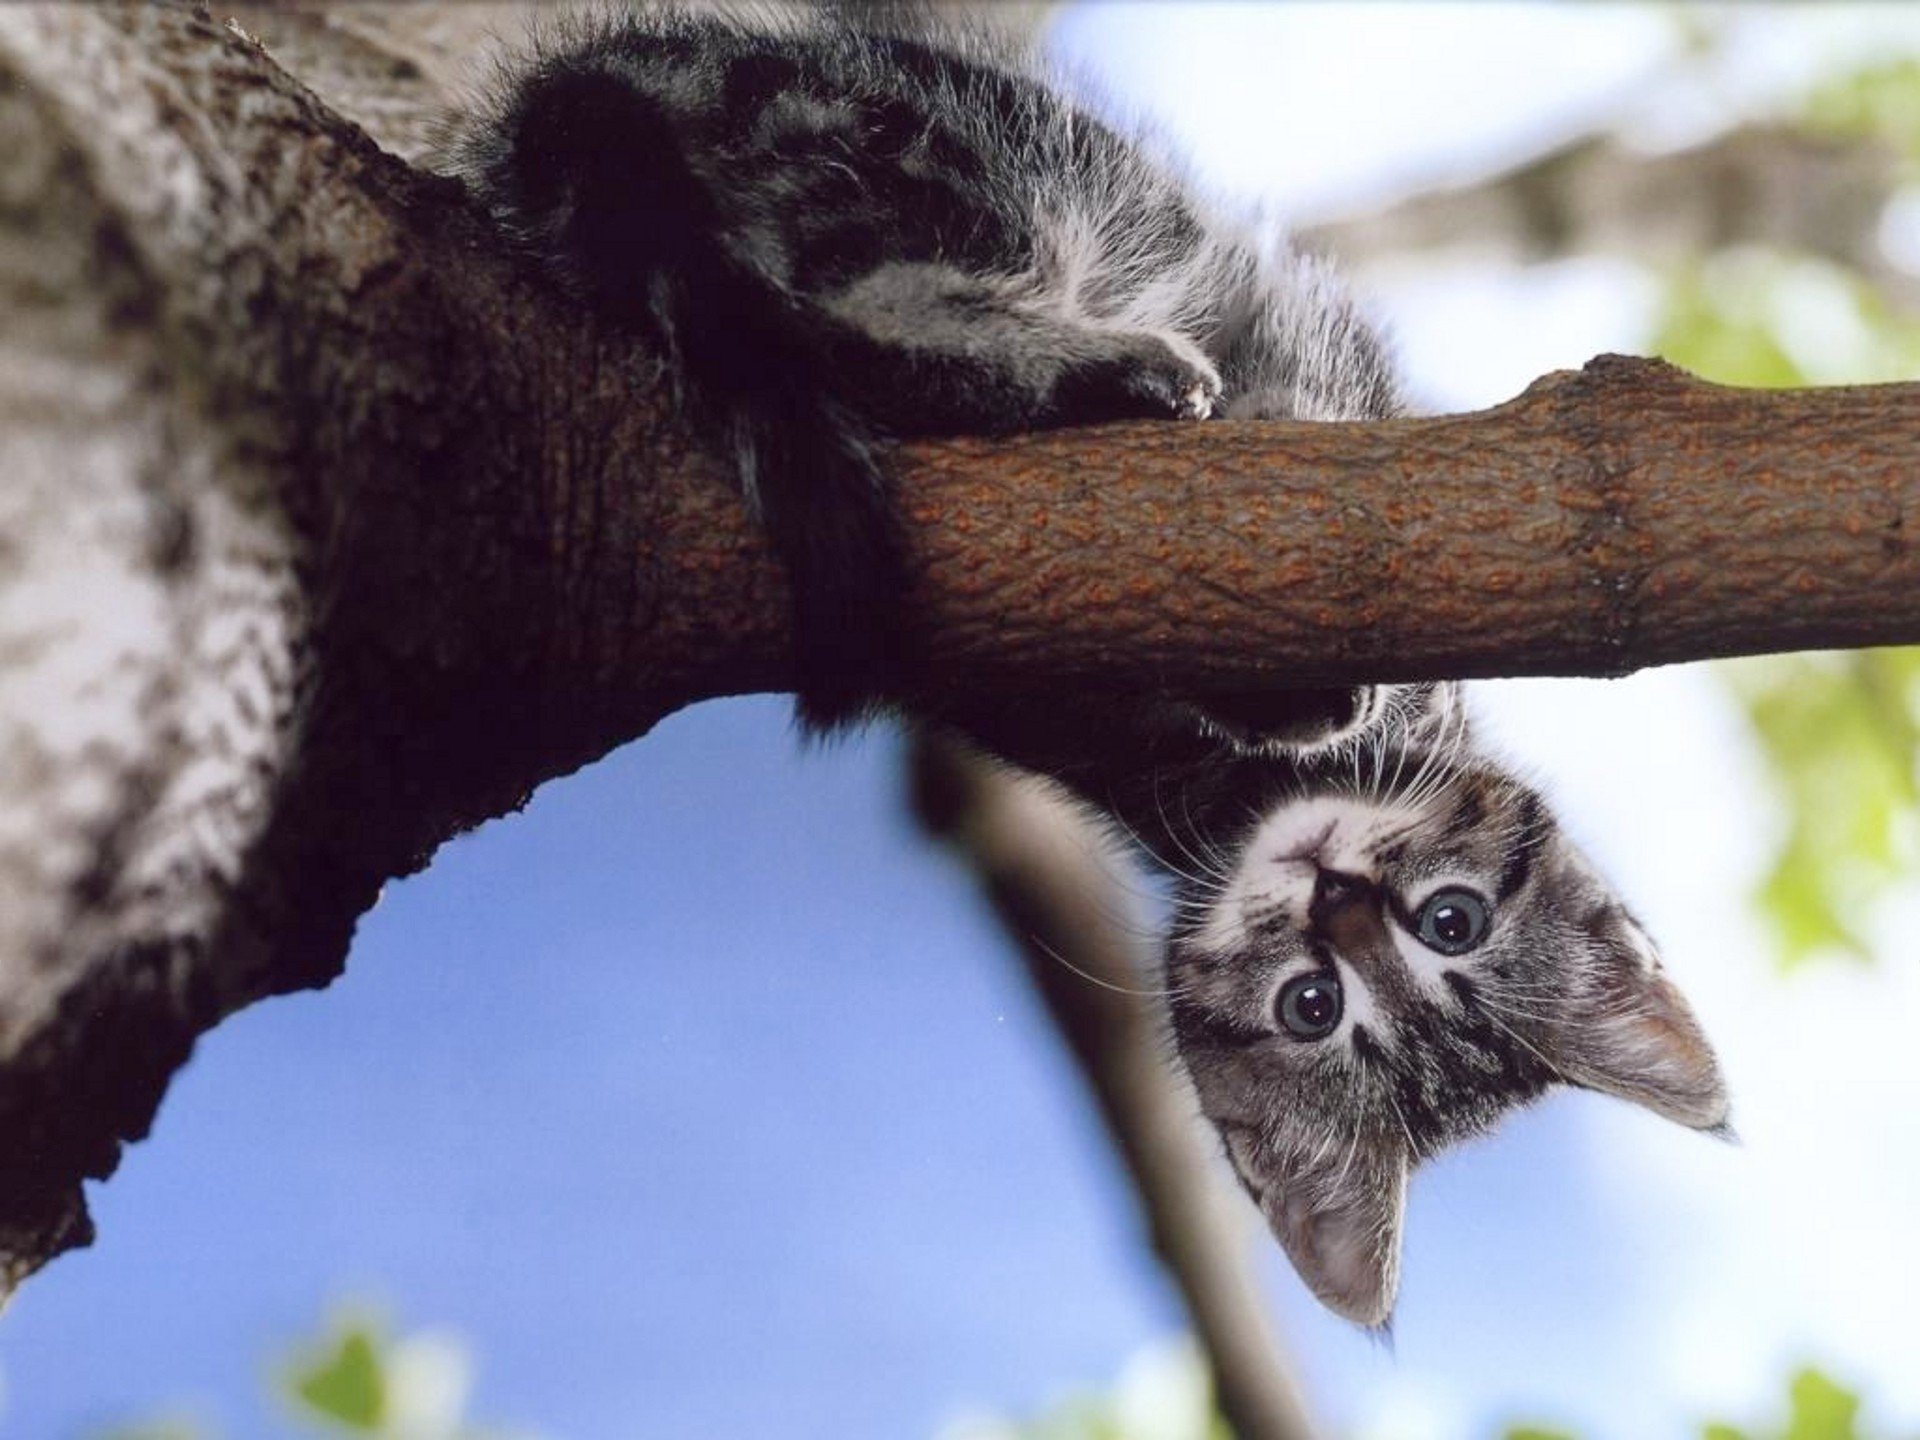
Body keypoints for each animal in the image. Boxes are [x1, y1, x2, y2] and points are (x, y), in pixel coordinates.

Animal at [456, 2, 1735, 1328]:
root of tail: (579, 101)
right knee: (878, 286)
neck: (1214, 794)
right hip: (980, 153)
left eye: (1316, 1001)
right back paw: (1092, 368)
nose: (1334, 894)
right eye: (1449, 922)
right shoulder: (1311, 341)